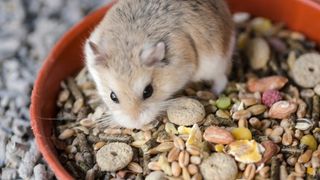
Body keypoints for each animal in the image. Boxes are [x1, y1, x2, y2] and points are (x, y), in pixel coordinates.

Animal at [85, 0, 235, 129]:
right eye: (113, 97)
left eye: (148, 91)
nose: (136, 124)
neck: (128, 46)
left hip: (215, 64)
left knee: (222, 78)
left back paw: (214, 91)